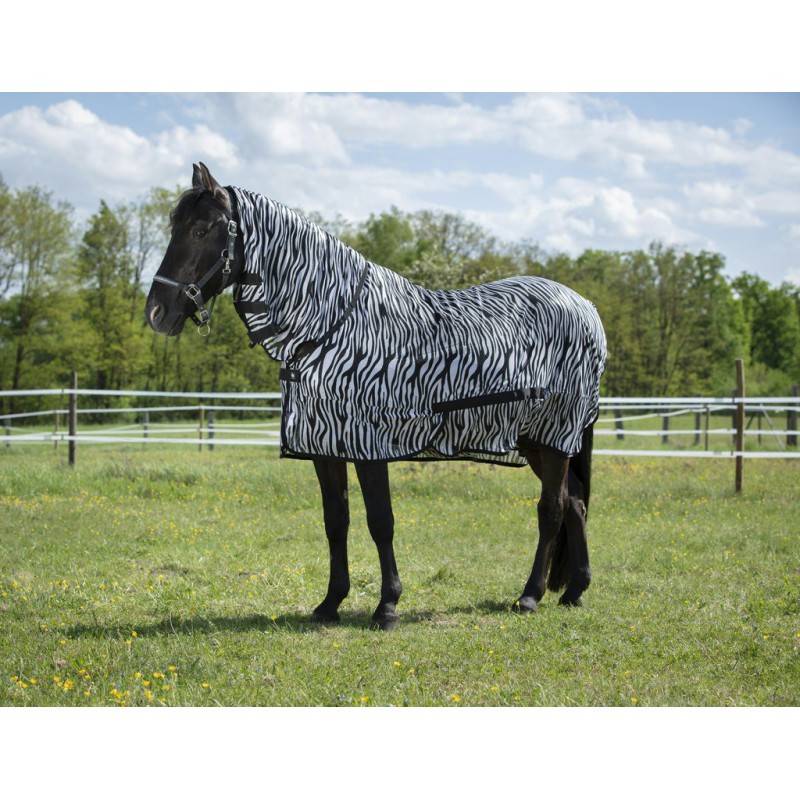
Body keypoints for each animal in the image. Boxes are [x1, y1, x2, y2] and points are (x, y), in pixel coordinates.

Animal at [145, 162, 607, 630]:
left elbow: (380, 521)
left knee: (551, 509)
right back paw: (575, 589)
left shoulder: (370, 446)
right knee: (574, 503)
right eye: (174, 226)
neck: (334, 325)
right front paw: (330, 603)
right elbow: (336, 520)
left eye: (202, 229)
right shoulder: (326, 447)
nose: (156, 313)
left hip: (555, 436)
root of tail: (585, 306)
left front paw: (387, 606)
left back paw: (530, 596)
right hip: (536, 441)